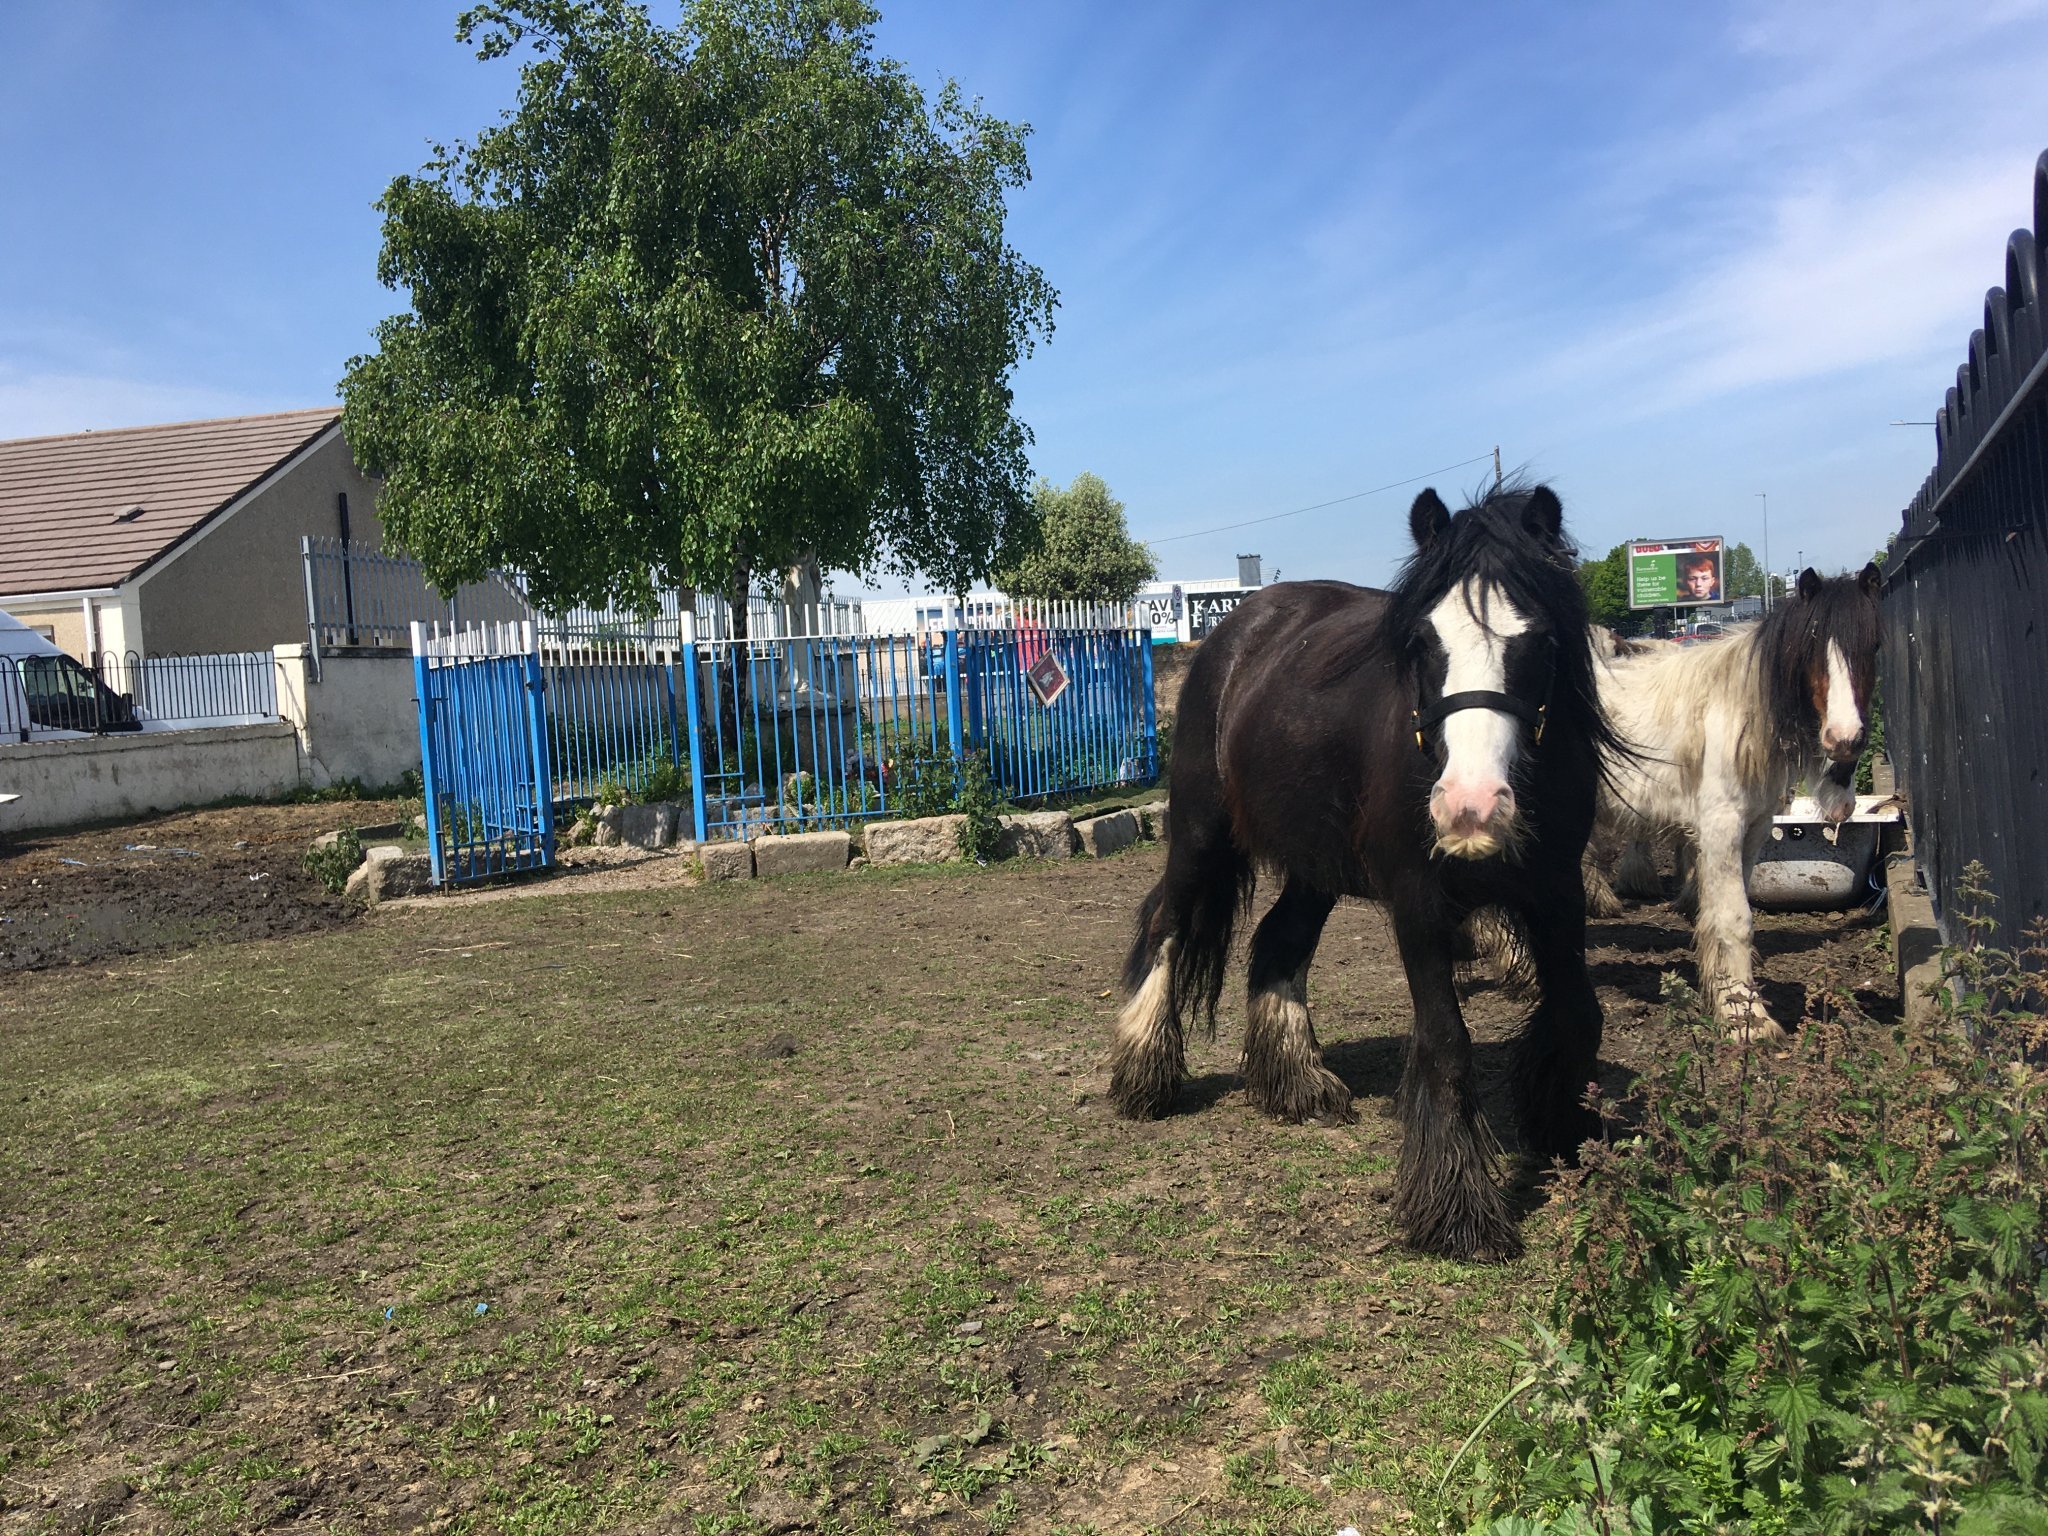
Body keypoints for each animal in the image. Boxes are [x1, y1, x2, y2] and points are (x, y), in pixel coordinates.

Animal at [1108, 483, 1626, 1262]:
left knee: (1277, 942)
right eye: (1423, 642)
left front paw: (1565, 1127)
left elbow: (1577, 1013)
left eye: (1537, 640)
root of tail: (1238, 631)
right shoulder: (1418, 903)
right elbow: (1446, 1044)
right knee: (1166, 924)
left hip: (1316, 866)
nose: (1470, 807)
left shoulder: (1558, 890)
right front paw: (1458, 1210)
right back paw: (1145, 1075)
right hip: (1201, 832)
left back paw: (1297, 1082)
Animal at [1589, 566, 1882, 1039]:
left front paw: (1727, 997)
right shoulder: (1721, 827)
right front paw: (1748, 1019)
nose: (1845, 739)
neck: (1737, 715)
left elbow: (1722, 917)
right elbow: (1735, 920)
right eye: (1809, 646)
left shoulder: (1754, 831)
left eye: (1873, 645)